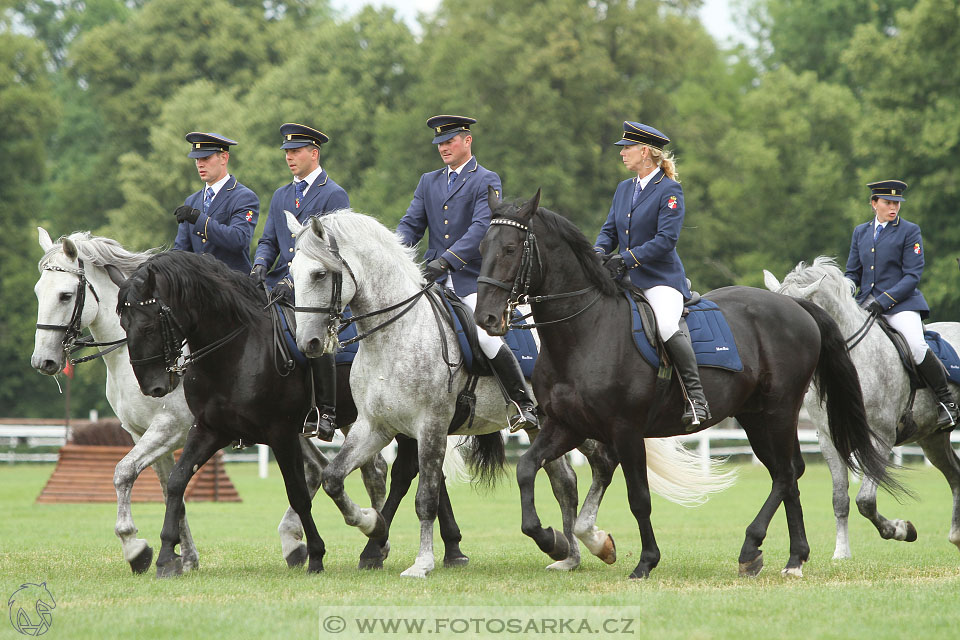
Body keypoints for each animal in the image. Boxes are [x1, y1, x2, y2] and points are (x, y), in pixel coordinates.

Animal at [28, 230, 394, 576]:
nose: (43, 361)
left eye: (65, 295)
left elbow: (125, 472)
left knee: (366, 471)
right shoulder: (147, 433)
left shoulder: (169, 429)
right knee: (333, 469)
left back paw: (372, 544)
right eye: (38, 292)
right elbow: (170, 488)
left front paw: (136, 548)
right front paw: (181, 557)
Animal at [114, 249, 466, 576]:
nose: (153, 387)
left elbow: (297, 493)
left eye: (148, 326)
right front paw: (165, 556)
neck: (238, 349)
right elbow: (176, 482)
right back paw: (437, 548)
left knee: (406, 474)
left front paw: (316, 554)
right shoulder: (209, 430)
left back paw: (386, 546)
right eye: (123, 324)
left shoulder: (280, 434)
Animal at [284, 208, 736, 576]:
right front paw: (372, 526)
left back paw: (582, 543)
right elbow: (334, 478)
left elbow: (425, 495)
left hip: (581, 423)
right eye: (291, 271)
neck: (397, 332)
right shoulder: (375, 426)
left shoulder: (429, 426)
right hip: (547, 425)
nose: (309, 344)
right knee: (565, 480)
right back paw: (568, 552)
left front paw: (420, 562)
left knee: (600, 466)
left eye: (320, 274)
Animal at [472, 189, 900, 580]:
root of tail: (796, 306)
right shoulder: (567, 425)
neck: (584, 332)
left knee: (786, 472)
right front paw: (551, 540)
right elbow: (527, 468)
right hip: (755, 417)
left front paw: (645, 562)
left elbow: (639, 498)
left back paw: (754, 547)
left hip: (780, 410)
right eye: (481, 246)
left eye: (510, 248)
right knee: (787, 473)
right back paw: (792, 557)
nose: (486, 319)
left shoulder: (625, 430)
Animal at [764, 255, 960, 556]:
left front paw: (902, 530)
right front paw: (841, 553)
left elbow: (865, 500)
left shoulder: (881, 436)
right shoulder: (829, 439)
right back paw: (956, 535)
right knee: (955, 475)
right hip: (933, 439)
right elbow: (840, 499)